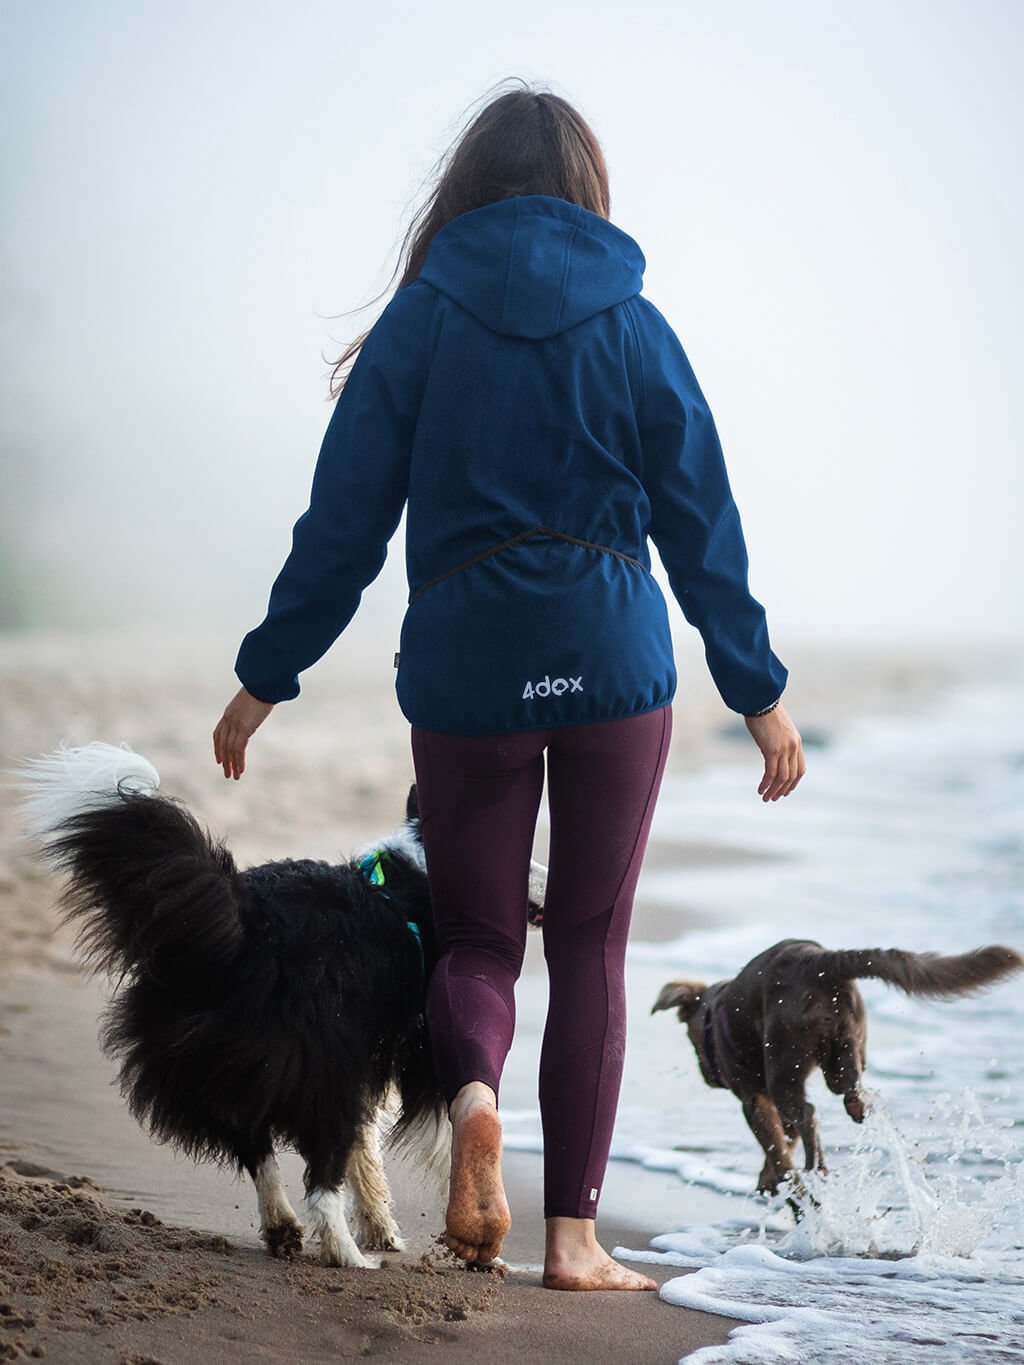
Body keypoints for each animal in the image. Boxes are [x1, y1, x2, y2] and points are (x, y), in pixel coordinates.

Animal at [18, 748, 546, 1266]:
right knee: (321, 1180)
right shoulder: (421, 1053)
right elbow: (443, 1142)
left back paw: (283, 1230)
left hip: (221, 1066)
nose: (555, 879)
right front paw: (479, 1245)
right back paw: (348, 1257)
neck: (422, 876)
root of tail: (245, 929)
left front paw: (383, 1229)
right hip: (323, 1072)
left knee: (256, 1148)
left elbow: (366, 1155)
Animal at [652, 939, 1021, 1195]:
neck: (714, 1013)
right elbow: (783, 1143)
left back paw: (816, 1170)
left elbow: (778, 1149)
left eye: (694, 1043)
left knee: (808, 1113)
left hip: (785, 1064)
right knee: (850, 1098)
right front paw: (769, 1180)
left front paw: (785, 1185)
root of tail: (818, 961)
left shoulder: (754, 1100)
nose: (707, 1076)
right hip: (845, 1051)